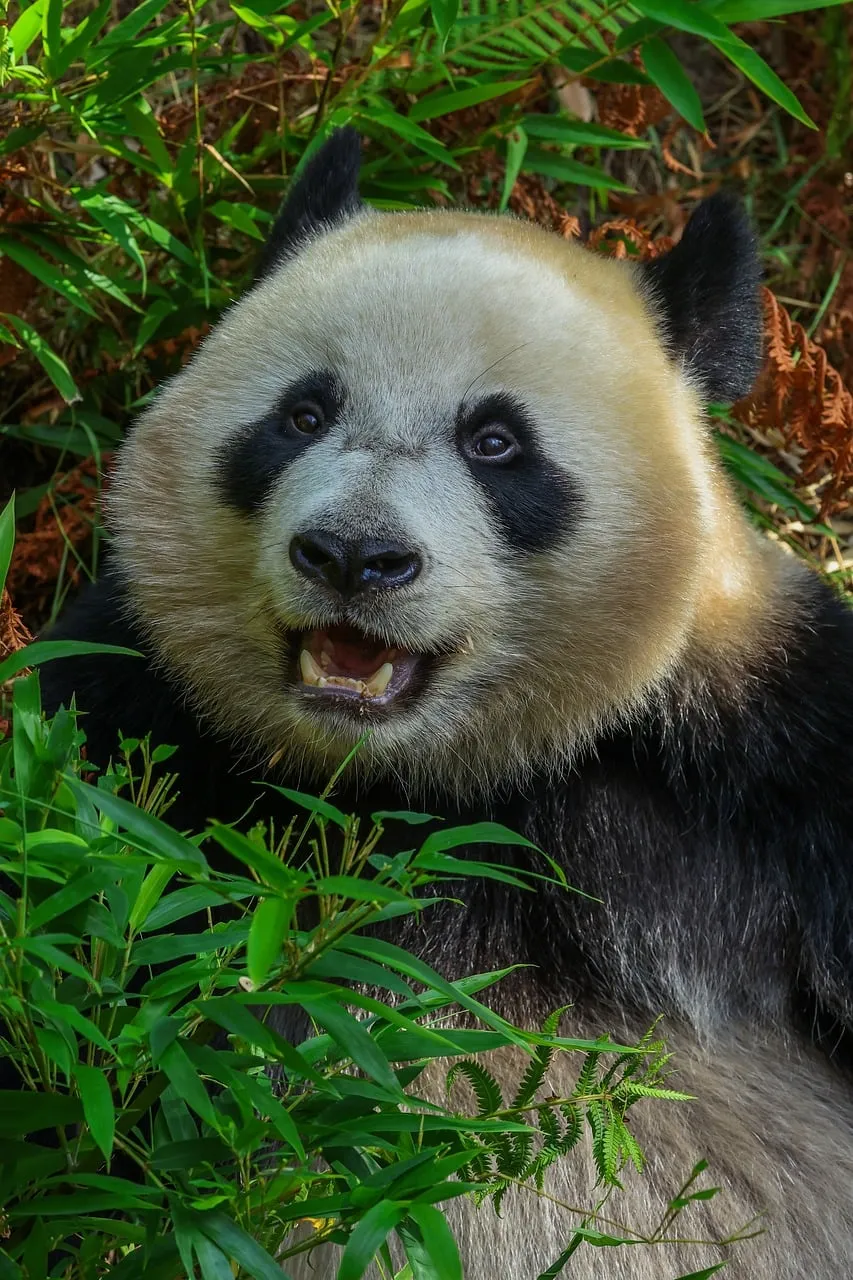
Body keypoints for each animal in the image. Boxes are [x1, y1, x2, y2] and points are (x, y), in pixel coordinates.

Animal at [40, 128, 853, 1278]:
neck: (423, 782)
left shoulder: (761, 748)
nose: (353, 555)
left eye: (495, 441)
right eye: (303, 413)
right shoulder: (130, 715)